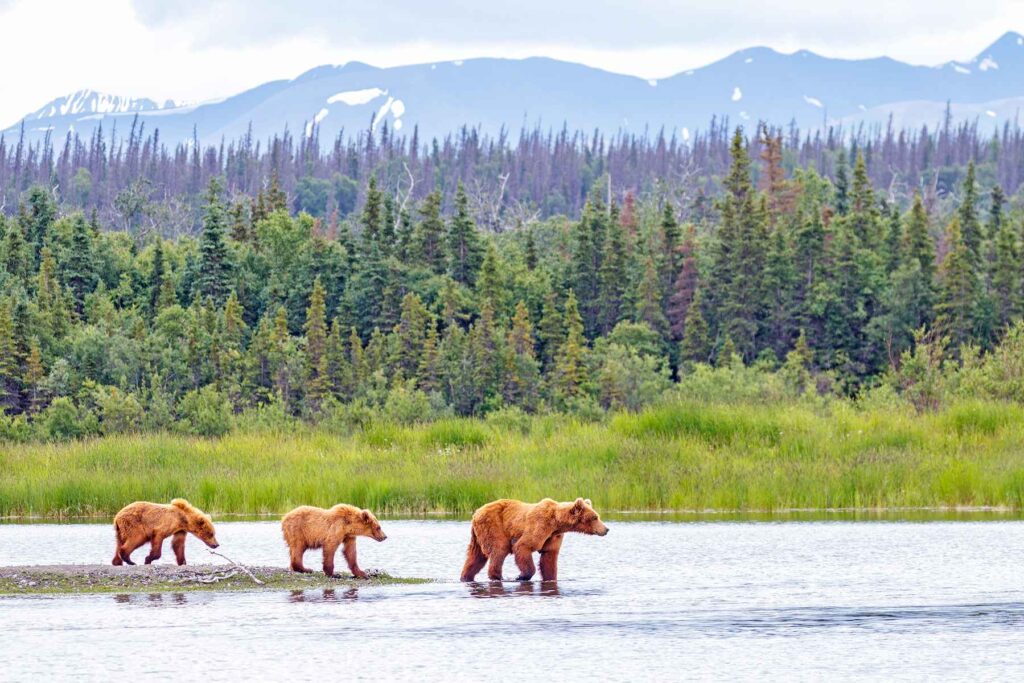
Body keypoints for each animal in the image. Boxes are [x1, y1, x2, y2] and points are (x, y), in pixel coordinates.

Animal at [458, 497, 606, 581]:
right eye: (595, 517)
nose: (606, 529)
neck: (556, 523)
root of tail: (476, 513)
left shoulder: (553, 536)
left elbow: (549, 558)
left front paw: (550, 578)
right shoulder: (540, 525)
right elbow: (523, 546)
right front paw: (521, 576)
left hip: (478, 535)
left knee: (475, 556)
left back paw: (466, 576)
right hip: (493, 526)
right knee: (499, 550)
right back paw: (498, 577)